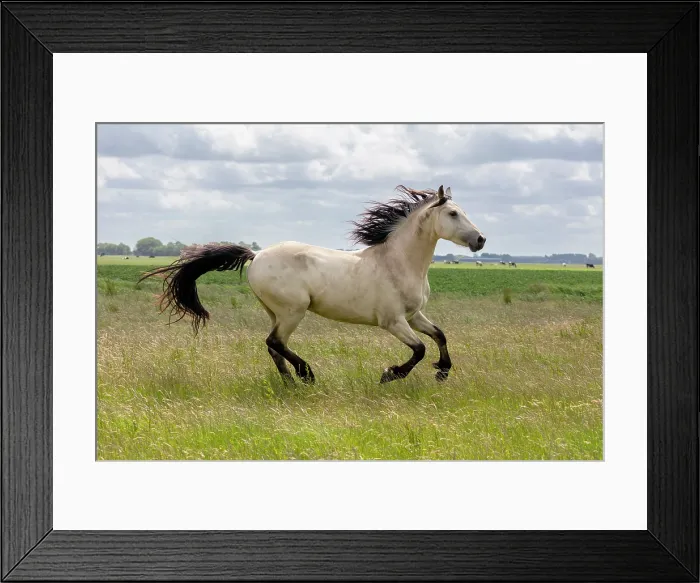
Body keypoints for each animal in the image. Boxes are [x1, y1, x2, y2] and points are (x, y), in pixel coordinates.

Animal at [139, 185, 486, 385]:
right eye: (453, 213)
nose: (480, 240)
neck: (397, 262)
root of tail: (256, 254)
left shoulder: (414, 315)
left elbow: (439, 336)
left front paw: (443, 371)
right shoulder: (393, 321)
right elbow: (419, 349)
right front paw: (390, 374)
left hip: (276, 312)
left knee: (272, 346)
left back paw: (289, 384)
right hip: (293, 310)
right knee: (275, 342)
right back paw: (306, 375)